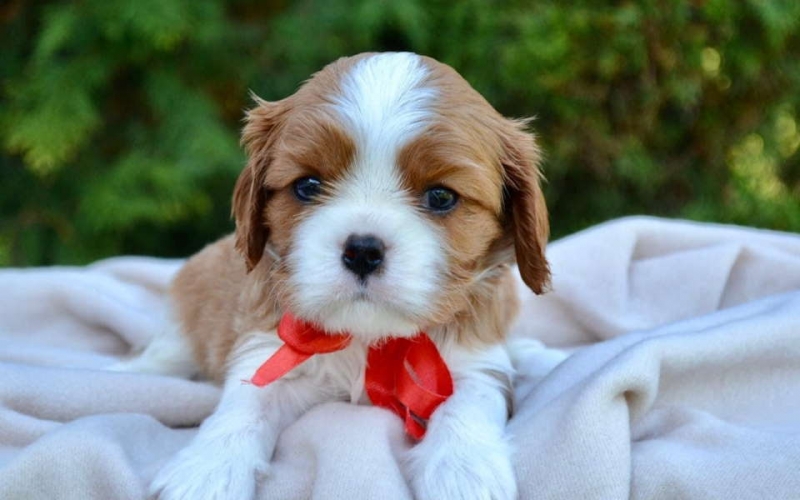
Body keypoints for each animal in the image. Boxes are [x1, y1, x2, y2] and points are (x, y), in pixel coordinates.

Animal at [122, 52, 552, 498]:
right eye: (308, 186)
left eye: (441, 196)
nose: (362, 251)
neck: (371, 339)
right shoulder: (268, 349)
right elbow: (245, 404)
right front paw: (208, 470)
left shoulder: (475, 360)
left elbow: (470, 399)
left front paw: (463, 468)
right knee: (167, 351)